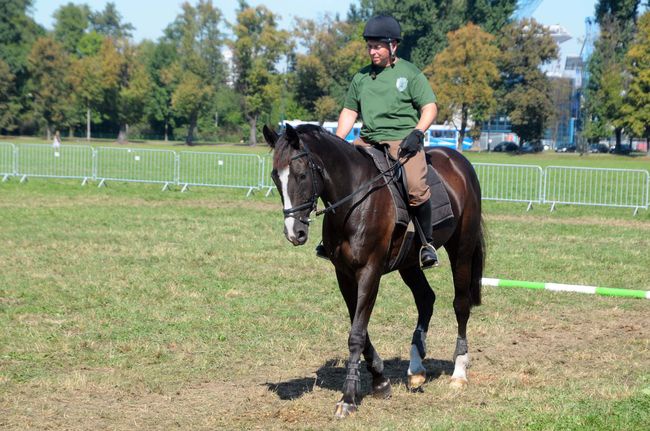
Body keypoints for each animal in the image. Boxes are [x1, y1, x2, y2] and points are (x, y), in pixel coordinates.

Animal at [260, 124, 484, 418]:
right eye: (276, 177)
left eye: (301, 175)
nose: (294, 233)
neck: (354, 200)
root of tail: (458, 160)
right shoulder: (344, 275)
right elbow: (360, 329)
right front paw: (380, 382)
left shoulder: (370, 272)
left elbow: (356, 333)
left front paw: (348, 398)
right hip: (409, 263)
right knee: (426, 299)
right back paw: (416, 369)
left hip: (462, 249)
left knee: (460, 304)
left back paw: (459, 372)